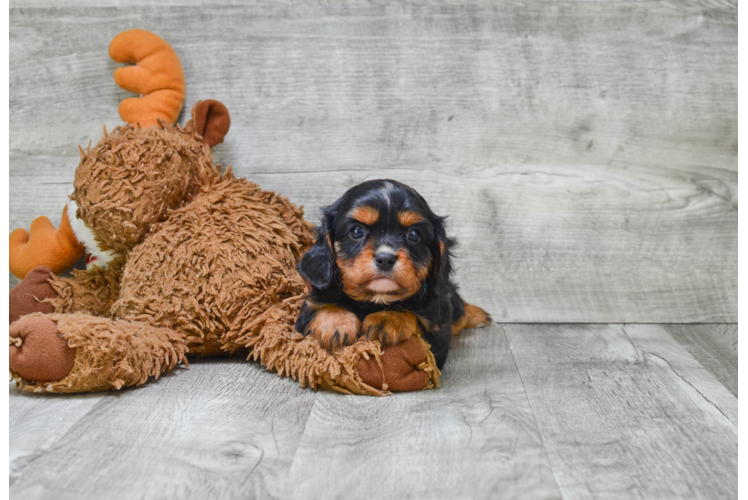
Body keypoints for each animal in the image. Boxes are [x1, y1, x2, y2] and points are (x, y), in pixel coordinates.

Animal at [296, 179, 494, 368]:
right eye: (357, 231)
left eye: (413, 234)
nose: (385, 258)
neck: (376, 299)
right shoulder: (306, 311)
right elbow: (319, 306)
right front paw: (337, 323)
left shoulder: (438, 334)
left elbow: (417, 318)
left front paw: (389, 318)